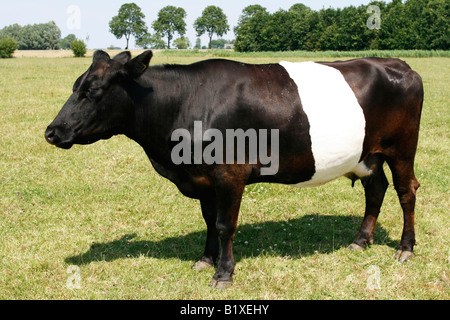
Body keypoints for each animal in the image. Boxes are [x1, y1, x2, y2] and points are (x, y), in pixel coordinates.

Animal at [44, 50, 424, 290]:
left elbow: (226, 224)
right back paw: (360, 241)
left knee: (406, 191)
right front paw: (205, 260)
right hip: (368, 155)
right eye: (75, 86)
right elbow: (210, 221)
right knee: (376, 190)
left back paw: (405, 248)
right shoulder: (202, 178)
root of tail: (398, 64)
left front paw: (223, 274)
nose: (52, 131)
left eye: (92, 90)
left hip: (401, 148)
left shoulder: (230, 173)